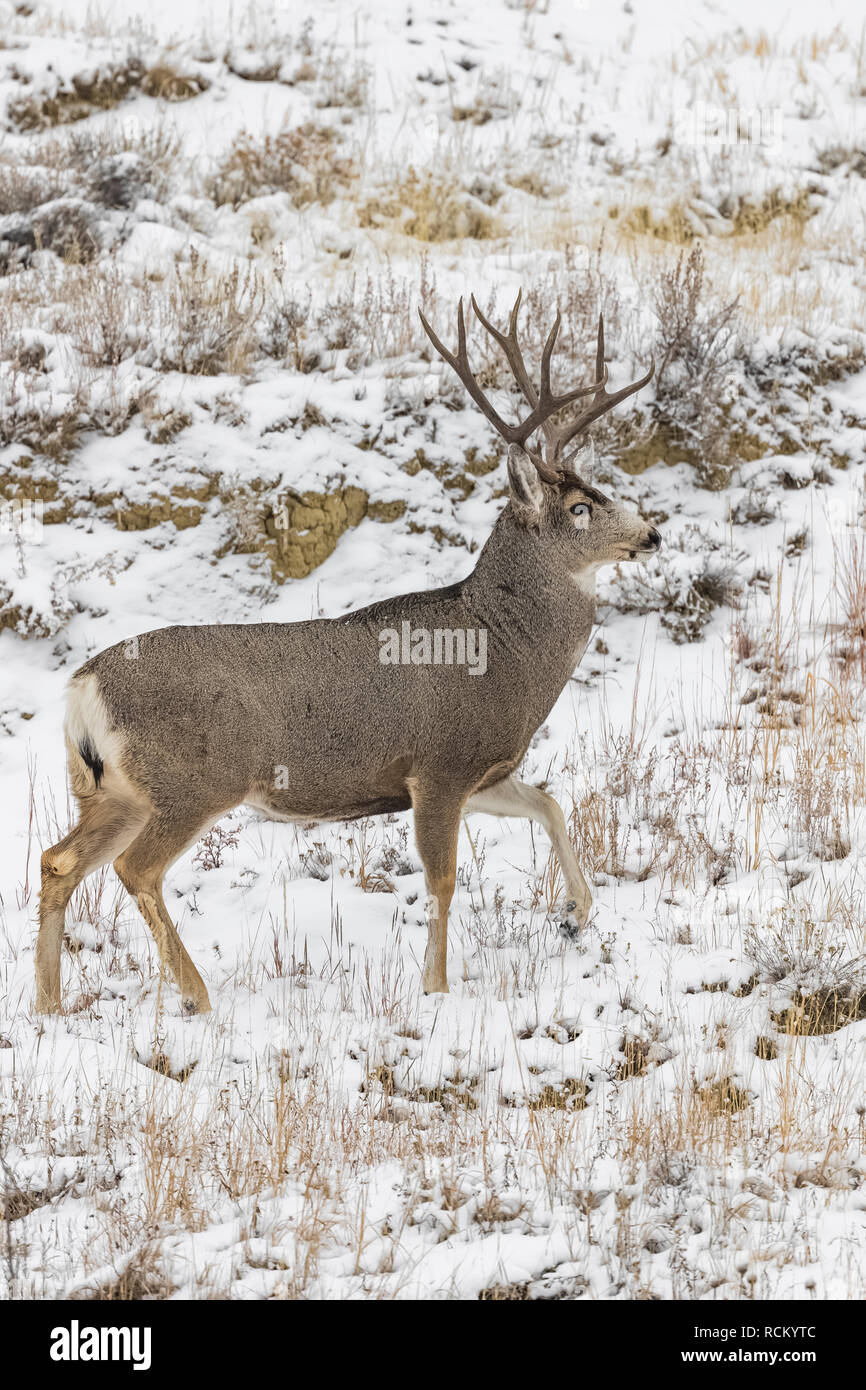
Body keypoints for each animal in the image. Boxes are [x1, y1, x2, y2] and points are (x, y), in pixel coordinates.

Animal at [35, 290, 656, 1011]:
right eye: (582, 507)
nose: (652, 534)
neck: (500, 645)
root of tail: (83, 687)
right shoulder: (440, 765)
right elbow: (443, 880)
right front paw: (437, 988)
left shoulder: (482, 771)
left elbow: (550, 804)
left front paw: (576, 915)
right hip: (191, 782)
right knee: (135, 869)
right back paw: (198, 997)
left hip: (110, 790)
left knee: (58, 860)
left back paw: (49, 1004)